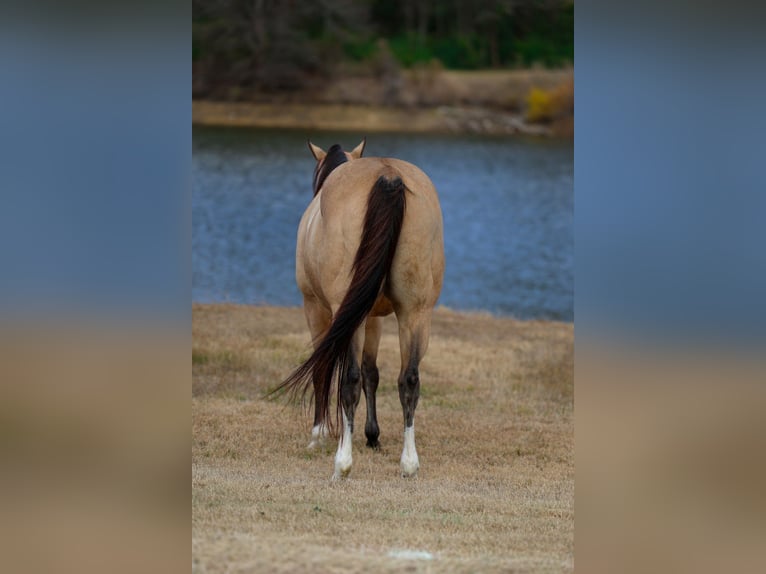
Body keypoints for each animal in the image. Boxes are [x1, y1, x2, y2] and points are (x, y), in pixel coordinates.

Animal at [274, 139, 444, 479]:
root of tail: (389, 176)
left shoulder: (316, 307)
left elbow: (326, 368)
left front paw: (319, 435)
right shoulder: (373, 317)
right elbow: (372, 372)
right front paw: (372, 435)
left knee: (348, 379)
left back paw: (343, 462)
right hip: (415, 312)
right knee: (409, 379)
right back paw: (409, 463)